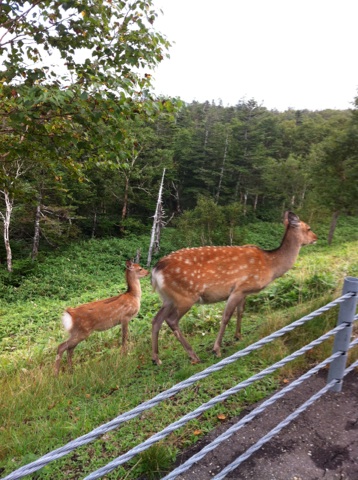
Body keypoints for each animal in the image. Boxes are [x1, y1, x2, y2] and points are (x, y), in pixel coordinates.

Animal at [150, 212, 316, 366]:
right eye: (308, 228)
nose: (316, 237)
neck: (270, 265)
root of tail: (156, 270)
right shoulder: (238, 289)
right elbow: (226, 317)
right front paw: (216, 349)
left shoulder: (245, 291)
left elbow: (240, 311)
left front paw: (238, 336)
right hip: (185, 296)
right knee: (171, 320)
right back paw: (194, 356)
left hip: (168, 298)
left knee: (156, 319)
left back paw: (156, 359)